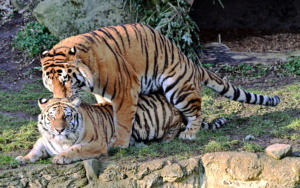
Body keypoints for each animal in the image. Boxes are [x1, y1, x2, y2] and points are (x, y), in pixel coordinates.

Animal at [14, 94, 225, 164]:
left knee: (177, 128)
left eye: (66, 116)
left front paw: (61, 157)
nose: (58, 130)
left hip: (165, 120)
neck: (59, 140)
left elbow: (76, 149)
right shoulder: (44, 141)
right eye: (52, 117)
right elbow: (35, 150)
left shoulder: (96, 144)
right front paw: (23, 158)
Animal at [39, 23, 282, 148]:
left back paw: (189, 133)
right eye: (50, 82)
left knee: (196, 112)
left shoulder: (124, 92)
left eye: (65, 79)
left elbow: (122, 121)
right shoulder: (104, 95)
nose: (60, 98)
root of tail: (193, 65)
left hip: (177, 88)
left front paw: (119, 144)